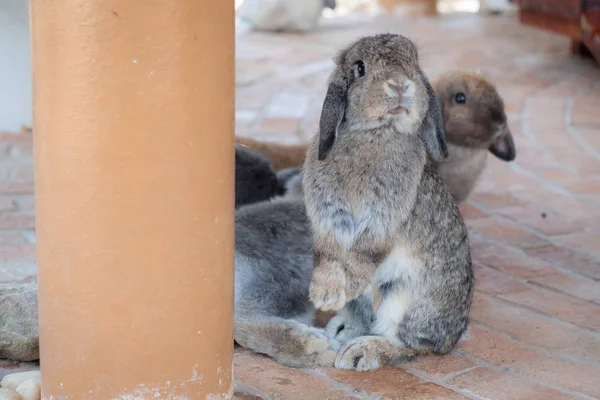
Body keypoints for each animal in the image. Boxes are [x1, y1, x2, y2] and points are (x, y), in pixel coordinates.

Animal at [304, 34, 474, 372]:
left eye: (414, 63)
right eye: (360, 68)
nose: (399, 85)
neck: (378, 132)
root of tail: (452, 337)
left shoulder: (382, 219)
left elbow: (365, 253)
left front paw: (348, 286)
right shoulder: (327, 218)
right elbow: (328, 254)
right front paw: (325, 296)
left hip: (401, 298)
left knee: (411, 345)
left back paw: (359, 352)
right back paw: (341, 327)